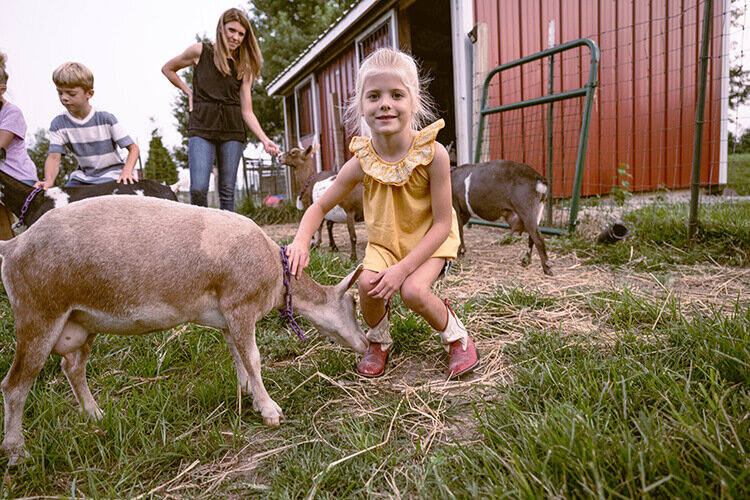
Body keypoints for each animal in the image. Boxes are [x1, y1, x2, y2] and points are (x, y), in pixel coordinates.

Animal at [0, 195, 370, 464]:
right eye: (353, 304)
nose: (365, 344)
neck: (277, 274)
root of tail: (14, 245)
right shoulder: (240, 304)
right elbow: (253, 358)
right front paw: (269, 410)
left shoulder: (228, 317)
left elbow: (238, 356)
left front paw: (248, 393)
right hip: (38, 314)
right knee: (15, 385)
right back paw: (17, 451)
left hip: (80, 320)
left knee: (73, 367)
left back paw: (95, 416)